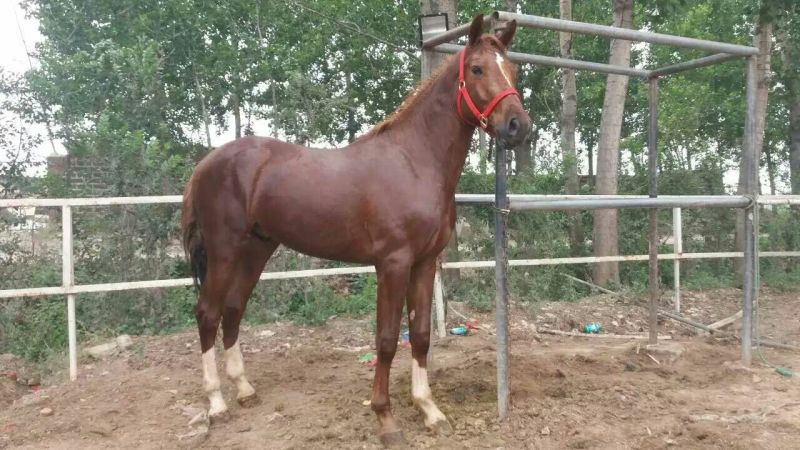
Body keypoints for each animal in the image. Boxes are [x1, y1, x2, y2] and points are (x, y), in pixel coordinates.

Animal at [181, 14, 531, 446]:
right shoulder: (392, 264)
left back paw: (244, 389)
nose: (518, 126)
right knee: (207, 313)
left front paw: (429, 410)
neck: (414, 161)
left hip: (256, 249)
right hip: (225, 250)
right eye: (478, 69)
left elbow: (420, 335)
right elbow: (386, 339)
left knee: (232, 309)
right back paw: (216, 403)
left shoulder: (425, 262)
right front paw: (386, 418)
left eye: (512, 69)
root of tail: (206, 163)